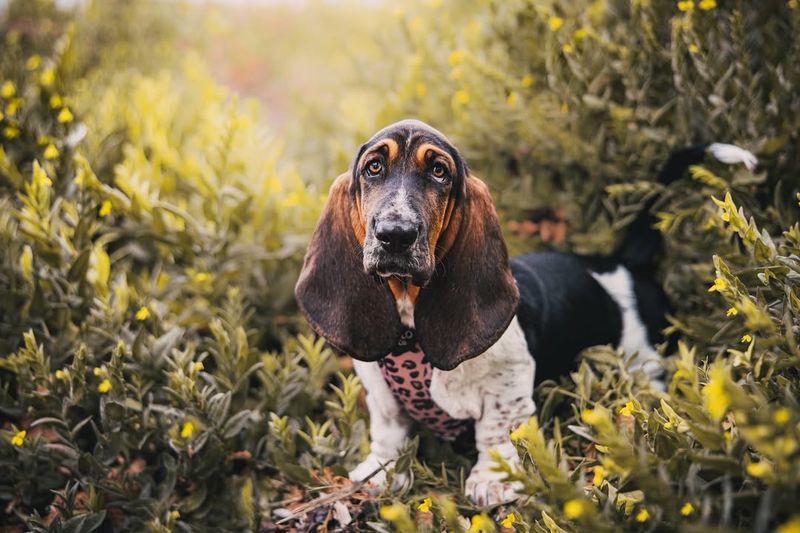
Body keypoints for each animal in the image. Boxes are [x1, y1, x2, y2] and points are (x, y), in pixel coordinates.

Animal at [294, 118, 756, 504]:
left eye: (439, 172)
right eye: (373, 167)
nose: (395, 234)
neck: (410, 327)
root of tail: (624, 261)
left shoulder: (509, 381)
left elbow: (496, 429)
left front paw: (492, 480)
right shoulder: (378, 386)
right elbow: (389, 426)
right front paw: (382, 470)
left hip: (643, 363)